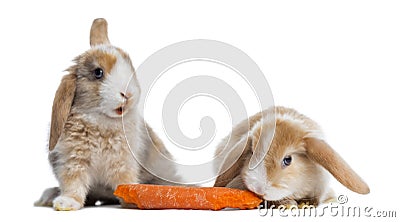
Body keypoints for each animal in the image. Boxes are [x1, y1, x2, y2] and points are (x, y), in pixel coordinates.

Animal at [34, 18, 178, 210]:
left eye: (130, 67)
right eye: (98, 73)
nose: (128, 94)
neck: (101, 121)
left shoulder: (124, 163)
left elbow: (125, 181)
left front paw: (133, 199)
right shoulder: (73, 161)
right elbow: (74, 184)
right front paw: (66, 203)